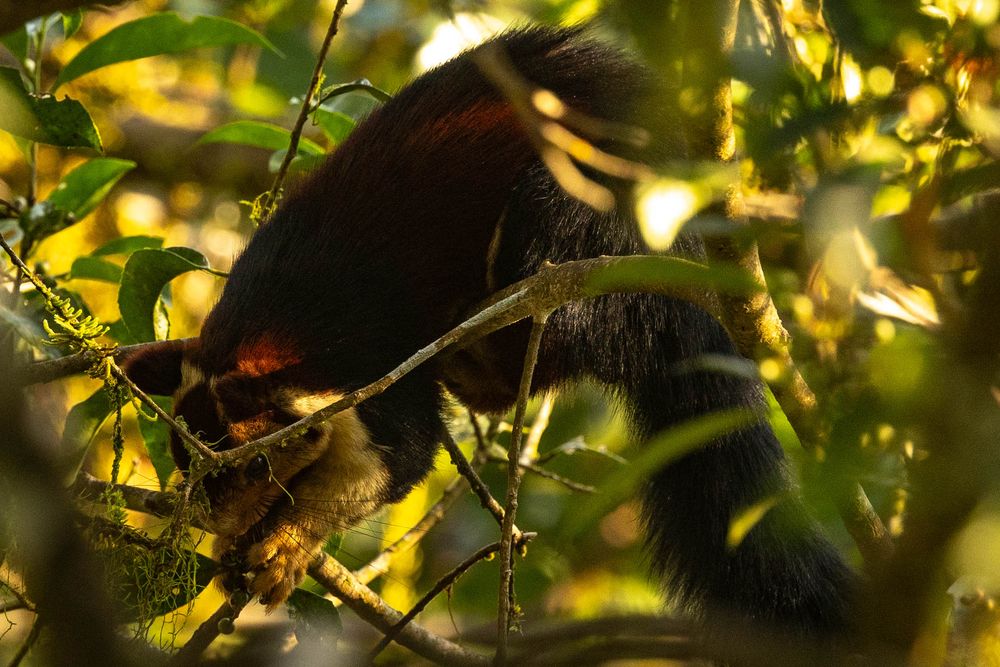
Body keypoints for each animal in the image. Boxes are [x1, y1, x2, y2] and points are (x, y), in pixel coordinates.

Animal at [125, 26, 852, 633]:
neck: (268, 330)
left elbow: (396, 459)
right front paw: (235, 542)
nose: (215, 517)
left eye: (255, 461)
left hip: (584, 215)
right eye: (183, 458)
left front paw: (284, 543)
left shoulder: (370, 370)